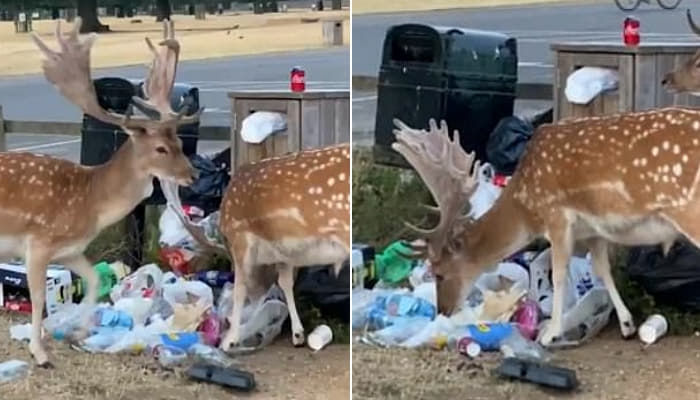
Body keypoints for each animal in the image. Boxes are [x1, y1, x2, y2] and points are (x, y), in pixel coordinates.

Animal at [2, 19, 201, 368]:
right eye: (160, 148)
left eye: (179, 141)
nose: (193, 174)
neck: (90, 202)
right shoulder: (38, 241)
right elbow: (39, 297)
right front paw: (40, 352)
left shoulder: (69, 249)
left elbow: (93, 280)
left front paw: (80, 333)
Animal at [394, 108, 700, 344]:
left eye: (440, 273)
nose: (442, 312)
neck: (526, 208)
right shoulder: (593, 230)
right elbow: (602, 270)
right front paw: (627, 325)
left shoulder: (556, 215)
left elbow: (559, 274)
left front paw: (550, 333)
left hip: (689, 211)